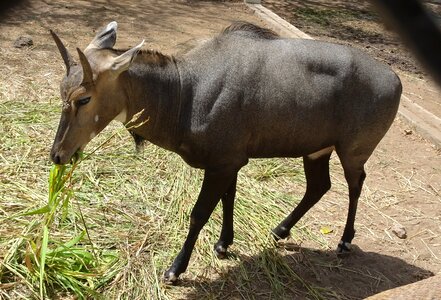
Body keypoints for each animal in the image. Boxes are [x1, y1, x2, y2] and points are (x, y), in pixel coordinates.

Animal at [49, 21, 400, 284]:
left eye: (83, 98)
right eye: (62, 91)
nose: (58, 155)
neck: (185, 91)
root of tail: (395, 80)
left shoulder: (222, 164)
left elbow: (199, 213)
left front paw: (175, 270)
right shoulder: (230, 161)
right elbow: (229, 199)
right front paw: (223, 244)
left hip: (353, 151)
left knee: (355, 184)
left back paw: (344, 241)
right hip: (316, 151)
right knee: (319, 186)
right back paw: (280, 230)